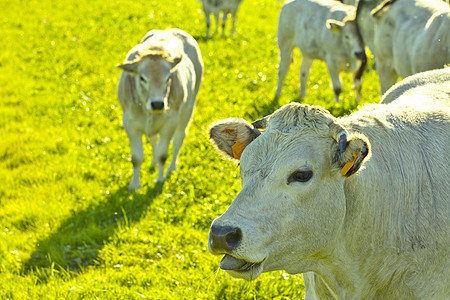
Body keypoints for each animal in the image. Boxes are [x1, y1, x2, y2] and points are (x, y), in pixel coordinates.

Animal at [117, 28, 203, 192]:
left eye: (168, 77)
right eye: (142, 78)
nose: (157, 104)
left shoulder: (170, 123)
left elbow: (163, 154)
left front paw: (160, 179)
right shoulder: (129, 123)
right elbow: (136, 158)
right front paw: (134, 185)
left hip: (187, 110)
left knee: (178, 140)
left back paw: (171, 168)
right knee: (154, 141)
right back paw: (154, 162)